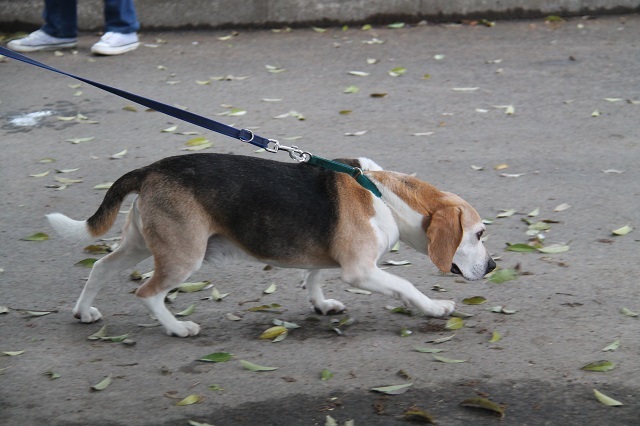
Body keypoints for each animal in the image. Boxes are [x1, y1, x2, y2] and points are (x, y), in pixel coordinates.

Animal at [47, 153, 498, 336]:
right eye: (478, 234)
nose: (494, 267)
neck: (384, 194)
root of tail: (150, 169)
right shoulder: (361, 271)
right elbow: (406, 286)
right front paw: (435, 308)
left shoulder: (330, 260)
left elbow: (314, 277)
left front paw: (321, 304)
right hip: (183, 256)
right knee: (148, 292)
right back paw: (177, 328)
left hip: (142, 244)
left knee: (100, 268)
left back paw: (84, 312)